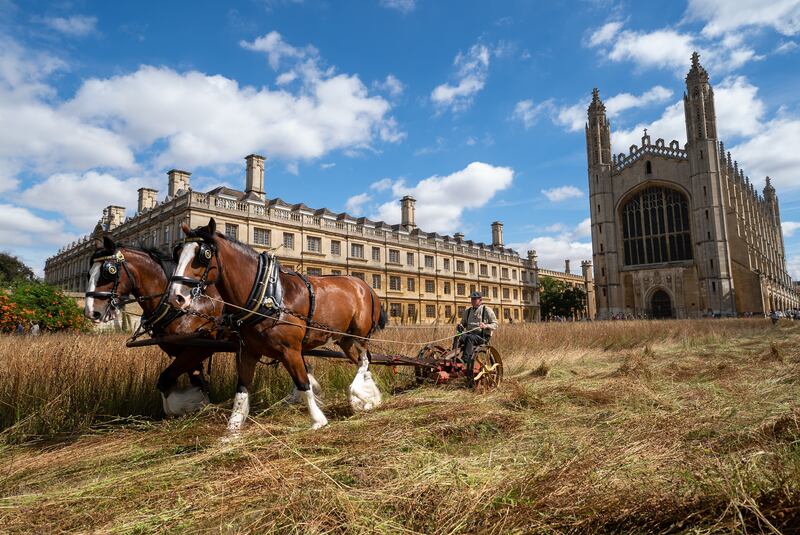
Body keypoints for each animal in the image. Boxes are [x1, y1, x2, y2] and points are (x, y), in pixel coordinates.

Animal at [85, 237, 227, 416]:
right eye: (89, 274)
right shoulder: (184, 351)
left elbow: (166, 382)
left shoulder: (202, 347)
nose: (91, 312)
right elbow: (196, 383)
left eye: (109, 272)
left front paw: (191, 404)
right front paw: (201, 405)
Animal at [169, 218, 388, 432]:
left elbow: (303, 383)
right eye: (178, 253)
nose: (176, 297)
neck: (267, 295)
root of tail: (365, 286)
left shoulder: (290, 351)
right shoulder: (247, 352)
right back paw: (369, 398)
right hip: (345, 340)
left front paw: (318, 420)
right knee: (362, 362)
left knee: (364, 361)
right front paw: (233, 427)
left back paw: (358, 395)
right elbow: (242, 389)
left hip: (360, 335)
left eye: (203, 255)